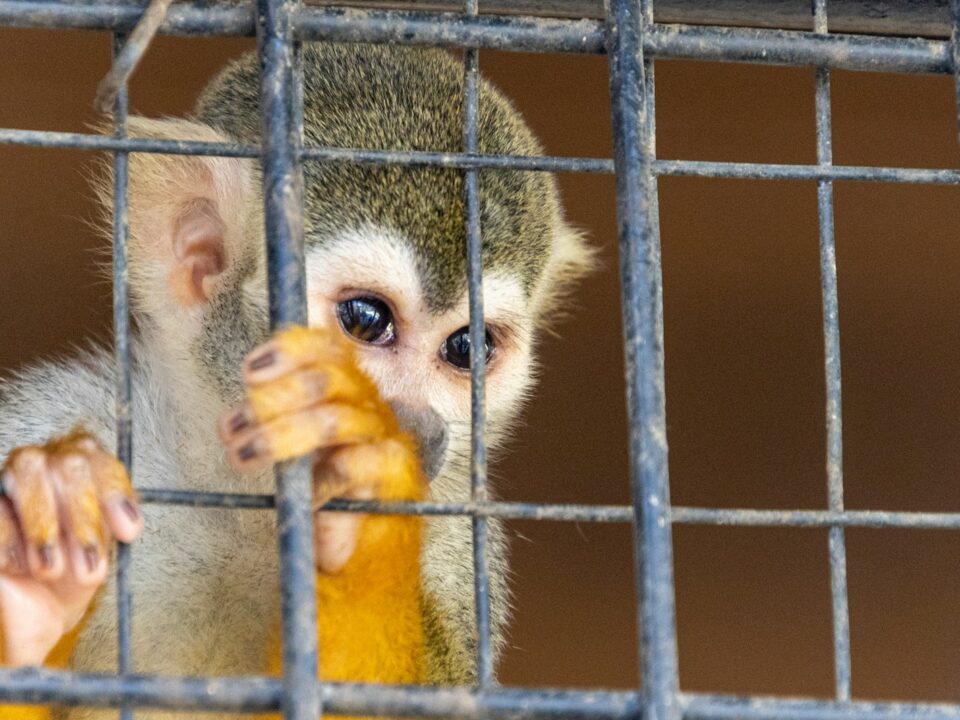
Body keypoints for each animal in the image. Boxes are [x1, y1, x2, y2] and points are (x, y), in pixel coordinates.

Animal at [0, 42, 592, 719]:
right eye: (365, 319)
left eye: (468, 347)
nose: (418, 430)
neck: (240, 491)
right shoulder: (61, 415)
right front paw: (32, 585)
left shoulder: (456, 532)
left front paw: (366, 513)